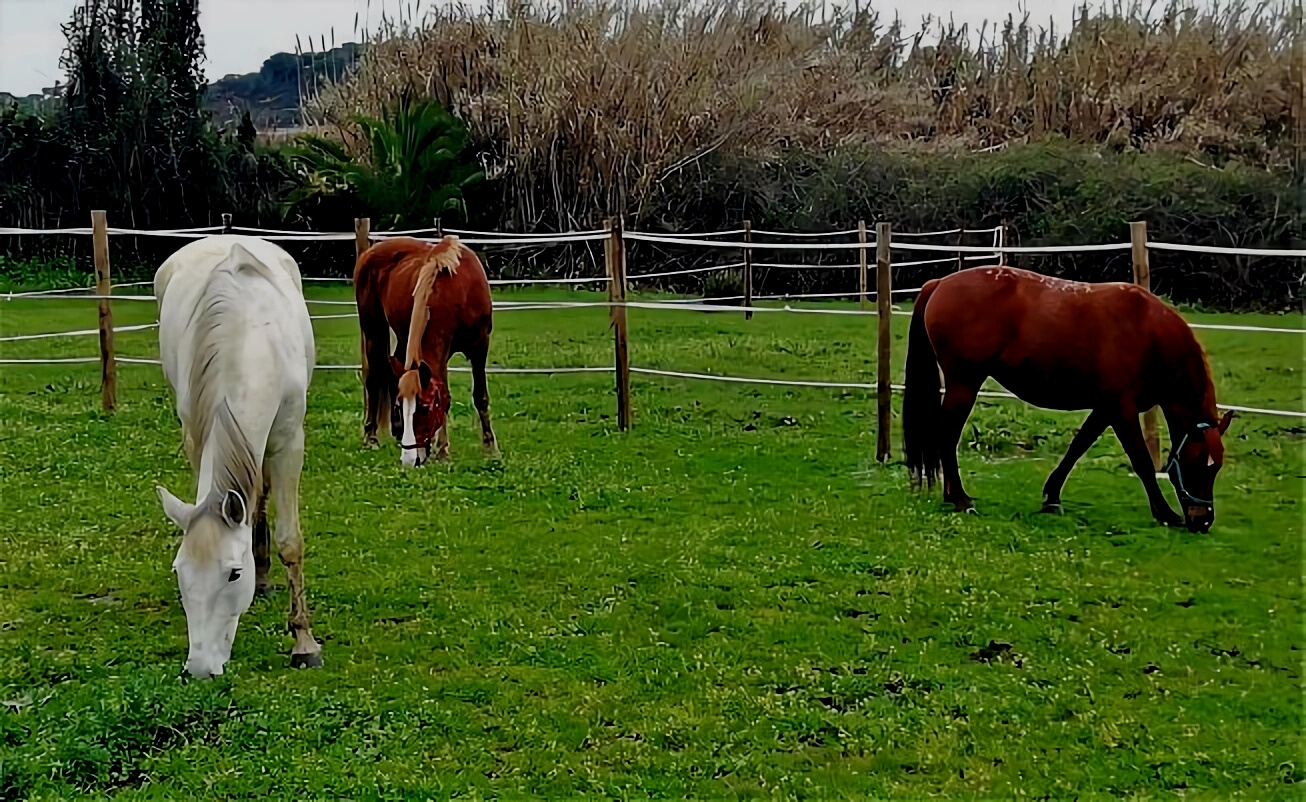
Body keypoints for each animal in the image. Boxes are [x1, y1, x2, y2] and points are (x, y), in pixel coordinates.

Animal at [153, 235, 321, 677]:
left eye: (233, 574)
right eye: (180, 573)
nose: (199, 668)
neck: (247, 336)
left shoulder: (288, 441)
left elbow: (290, 542)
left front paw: (304, 643)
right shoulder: (197, 438)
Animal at [354, 235, 498, 467]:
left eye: (423, 408)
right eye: (400, 406)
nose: (409, 459)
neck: (458, 289)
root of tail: (369, 253)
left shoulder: (480, 346)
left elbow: (480, 396)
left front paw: (490, 448)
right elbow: (445, 396)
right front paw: (443, 450)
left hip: (403, 338)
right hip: (373, 331)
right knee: (374, 378)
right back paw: (371, 437)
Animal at [902, 265, 1234, 533]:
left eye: (1216, 467)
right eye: (1197, 464)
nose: (1203, 520)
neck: (1147, 331)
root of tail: (940, 283)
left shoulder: (1105, 408)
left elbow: (1077, 447)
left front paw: (1052, 497)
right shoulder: (1121, 409)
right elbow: (1141, 461)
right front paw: (1165, 513)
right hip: (965, 384)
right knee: (946, 435)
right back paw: (959, 498)